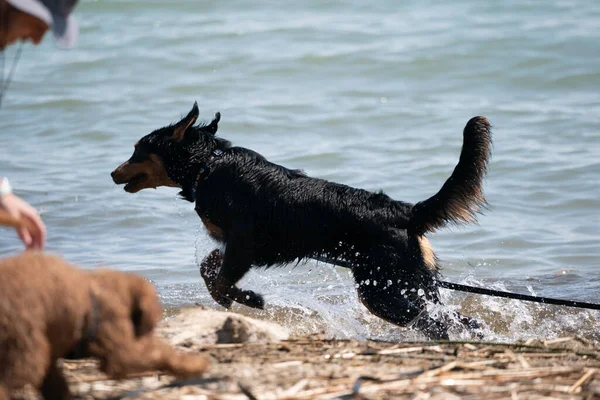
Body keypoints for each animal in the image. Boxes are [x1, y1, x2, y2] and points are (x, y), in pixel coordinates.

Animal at [112, 102, 492, 338]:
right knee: (451, 318)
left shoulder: (244, 243)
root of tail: (405, 211)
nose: (113, 173)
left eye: (137, 150)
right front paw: (238, 298)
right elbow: (210, 269)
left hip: (383, 287)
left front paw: (249, 299)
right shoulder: (235, 246)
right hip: (413, 282)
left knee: (436, 322)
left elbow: (220, 281)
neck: (208, 165)